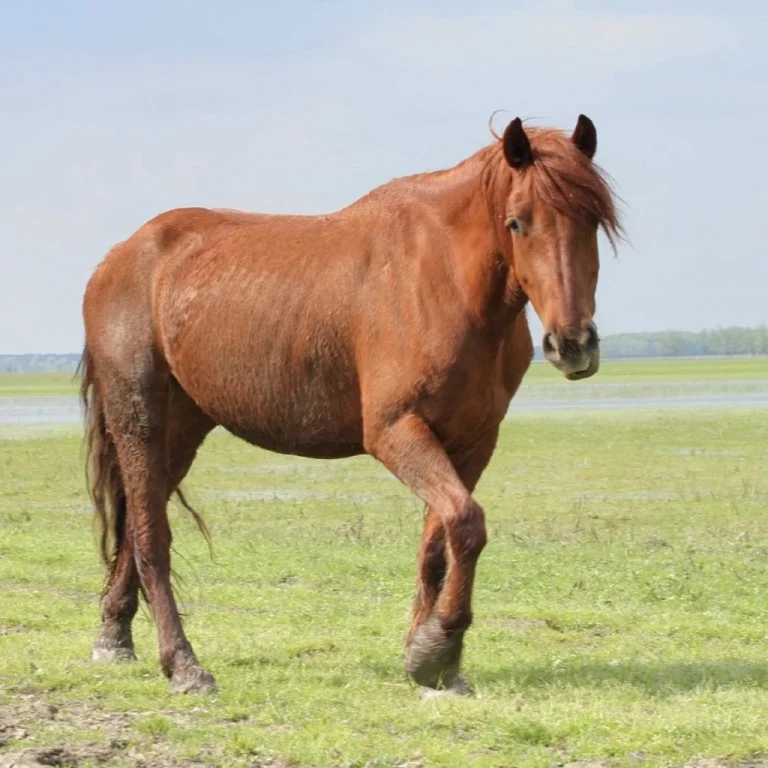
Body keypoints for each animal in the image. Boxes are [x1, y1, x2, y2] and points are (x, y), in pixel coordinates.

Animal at [78, 114, 622, 695]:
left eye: (592, 221)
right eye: (517, 223)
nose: (573, 345)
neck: (446, 281)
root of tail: (119, 257)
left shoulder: (472, 442)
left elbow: (439, 540)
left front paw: (427, 656)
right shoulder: (396, 432)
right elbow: (467, 523)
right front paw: (439, 645)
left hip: (182, 428)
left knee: (139, 520)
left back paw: (114, 636)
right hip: (139, 418)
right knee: (150, 535)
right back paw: (182, 663)